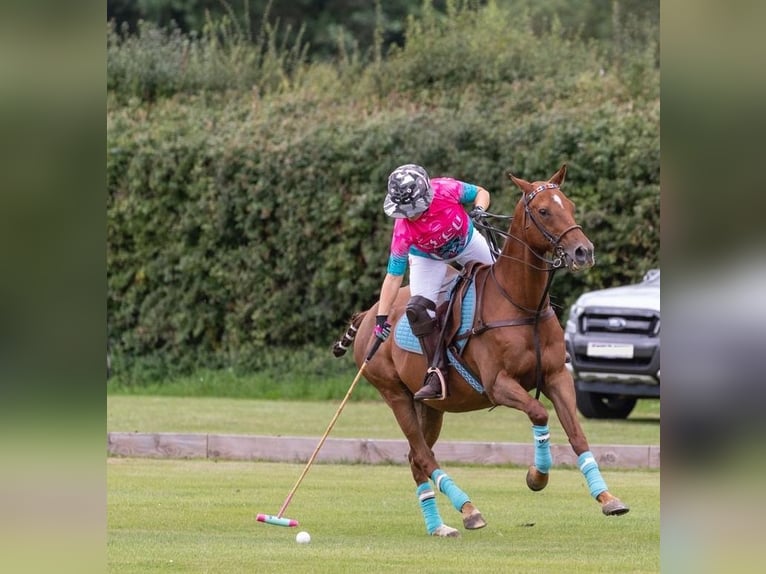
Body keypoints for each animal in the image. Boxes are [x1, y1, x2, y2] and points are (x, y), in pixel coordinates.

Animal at [334, 165, 632, 540]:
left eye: (571, 205)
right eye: (544, 211)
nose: (583, 251)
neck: (523, 304)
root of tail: (371, 313)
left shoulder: (556, 377)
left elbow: (577, 434)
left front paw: (608, 498)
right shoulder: (498, 384)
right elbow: (539, 413)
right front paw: (537, 477)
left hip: (430, 406)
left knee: (416, 458)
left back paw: (439, 526)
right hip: (395, 395)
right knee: (424, 455)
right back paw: (469, 510)